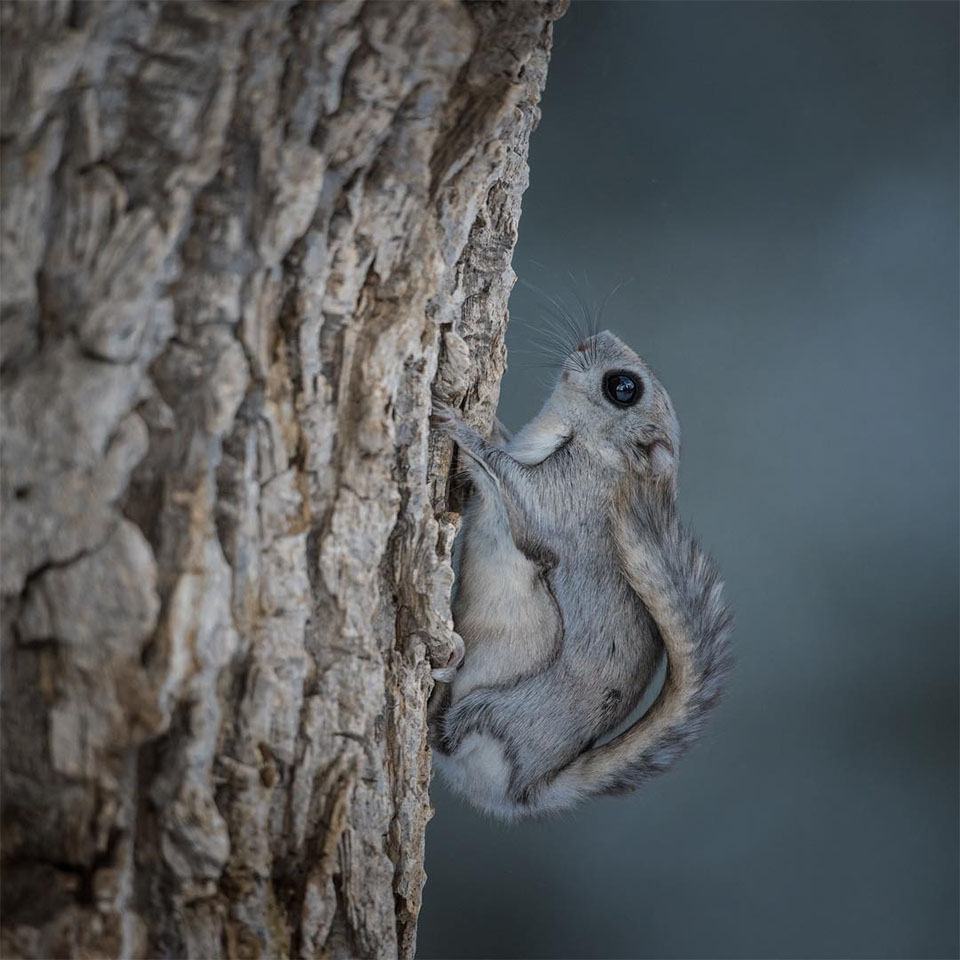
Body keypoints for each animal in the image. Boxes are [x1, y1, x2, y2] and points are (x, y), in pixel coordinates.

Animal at [432, 328, 732, 816]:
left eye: (623, 388)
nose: (595, 337)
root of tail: (528, 788)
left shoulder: (562, 499)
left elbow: (510, 482)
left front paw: (456, 424)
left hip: (498, 712)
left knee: (449, 736)